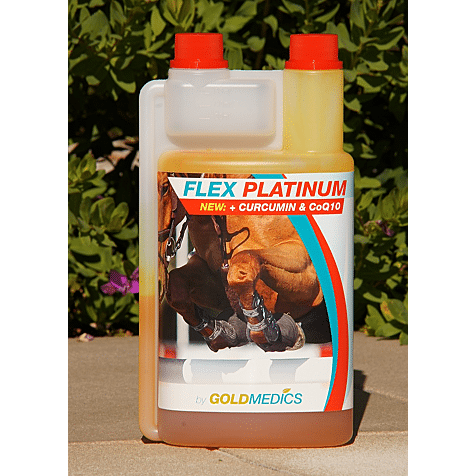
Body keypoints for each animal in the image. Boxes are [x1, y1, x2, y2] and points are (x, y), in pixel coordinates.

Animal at [157, 172, 330, 353]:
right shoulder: (217, 277)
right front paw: (220, 331)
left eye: (165, 187)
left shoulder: (309, 275)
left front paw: (268, 329)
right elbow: (176, 284)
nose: (158, 283)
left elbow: (243, 266)